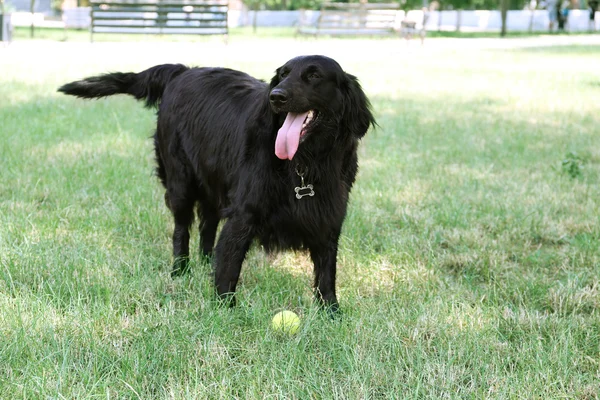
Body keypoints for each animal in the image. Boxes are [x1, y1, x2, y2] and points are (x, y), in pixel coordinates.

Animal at [58, 55, 372, 312]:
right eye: (282, 74)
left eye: (314, 75)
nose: (276, 96)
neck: (304, 162)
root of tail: (183, 71)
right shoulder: (243, 214)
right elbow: (230, 266)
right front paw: (225, 309)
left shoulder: (329, 216)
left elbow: (327, 272)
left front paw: (331, 312)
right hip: (180, 182)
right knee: (182, 230)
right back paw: (180, 270)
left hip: (212, 184)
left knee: (207, 227)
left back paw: (205, 262)